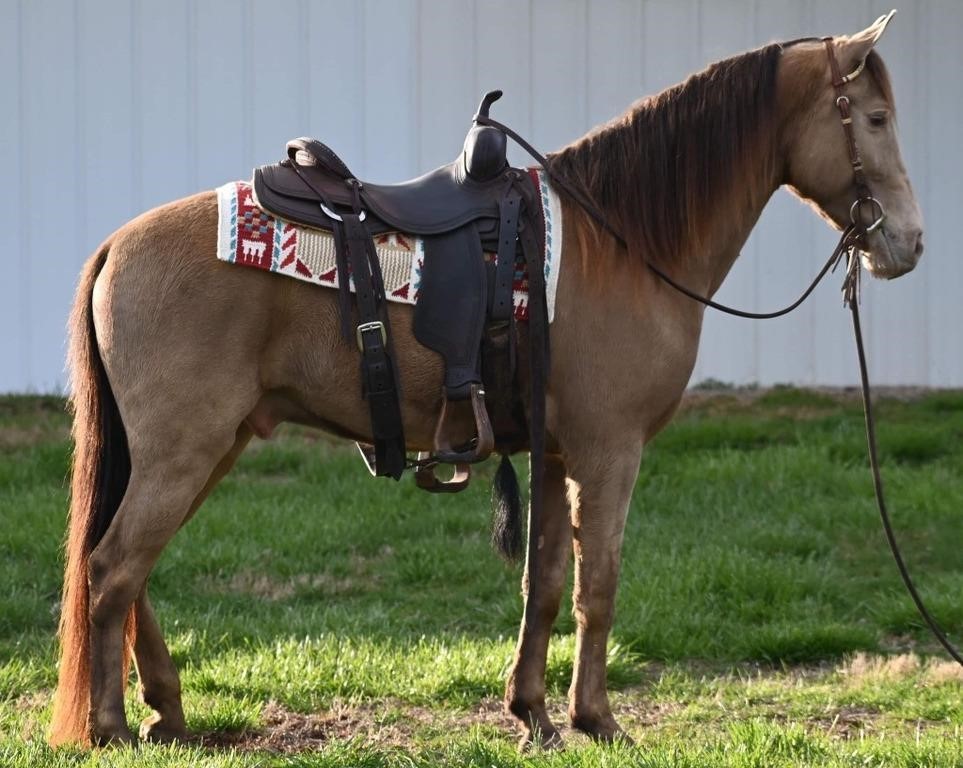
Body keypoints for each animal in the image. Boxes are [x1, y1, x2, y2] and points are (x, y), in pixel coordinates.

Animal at [49, 13, 924, 752]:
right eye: (875, 120)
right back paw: (112, 727)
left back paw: (166, 712)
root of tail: (114, 246)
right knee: (112, 570)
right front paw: (597, 719)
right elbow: (597, 585)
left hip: (206, 445)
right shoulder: (609, 451)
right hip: (184, 450)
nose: (907, 243)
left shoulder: (558, 451)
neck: (622, 243)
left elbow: (546, 582)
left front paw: (533, 712)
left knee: (127, 571)